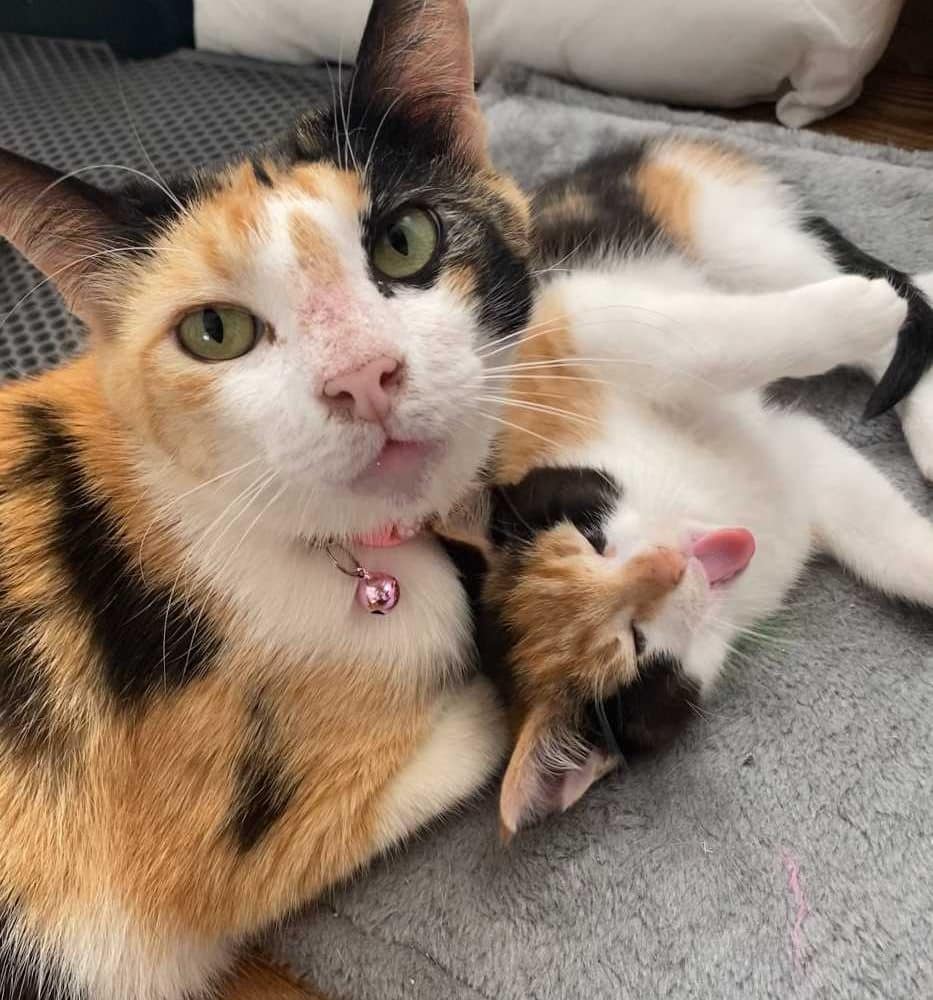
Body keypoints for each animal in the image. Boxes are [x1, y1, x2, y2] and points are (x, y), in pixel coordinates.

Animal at [448, 141, 933, 839]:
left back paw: (882, 316)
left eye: (592, 538)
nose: (670, 565)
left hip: (725, 230)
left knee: (901, 284)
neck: (693, 489)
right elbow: (887, 544)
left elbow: (689, 346)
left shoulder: (572, 326)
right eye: (635, 644)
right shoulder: (801, 462)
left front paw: (856, 310)